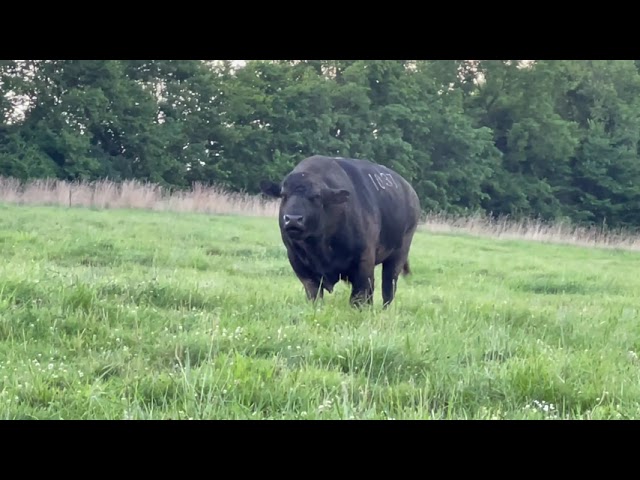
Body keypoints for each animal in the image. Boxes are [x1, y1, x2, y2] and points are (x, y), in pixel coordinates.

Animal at [259, 155, 421, 308]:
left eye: (316, 196)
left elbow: (358, 297)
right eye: (283, 195)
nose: (293, 219)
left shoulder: (364, 261)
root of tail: (411, 192)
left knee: (388, 288)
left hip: (398, 254)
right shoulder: (299, 264)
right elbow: (314, 295)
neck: (318, 246)